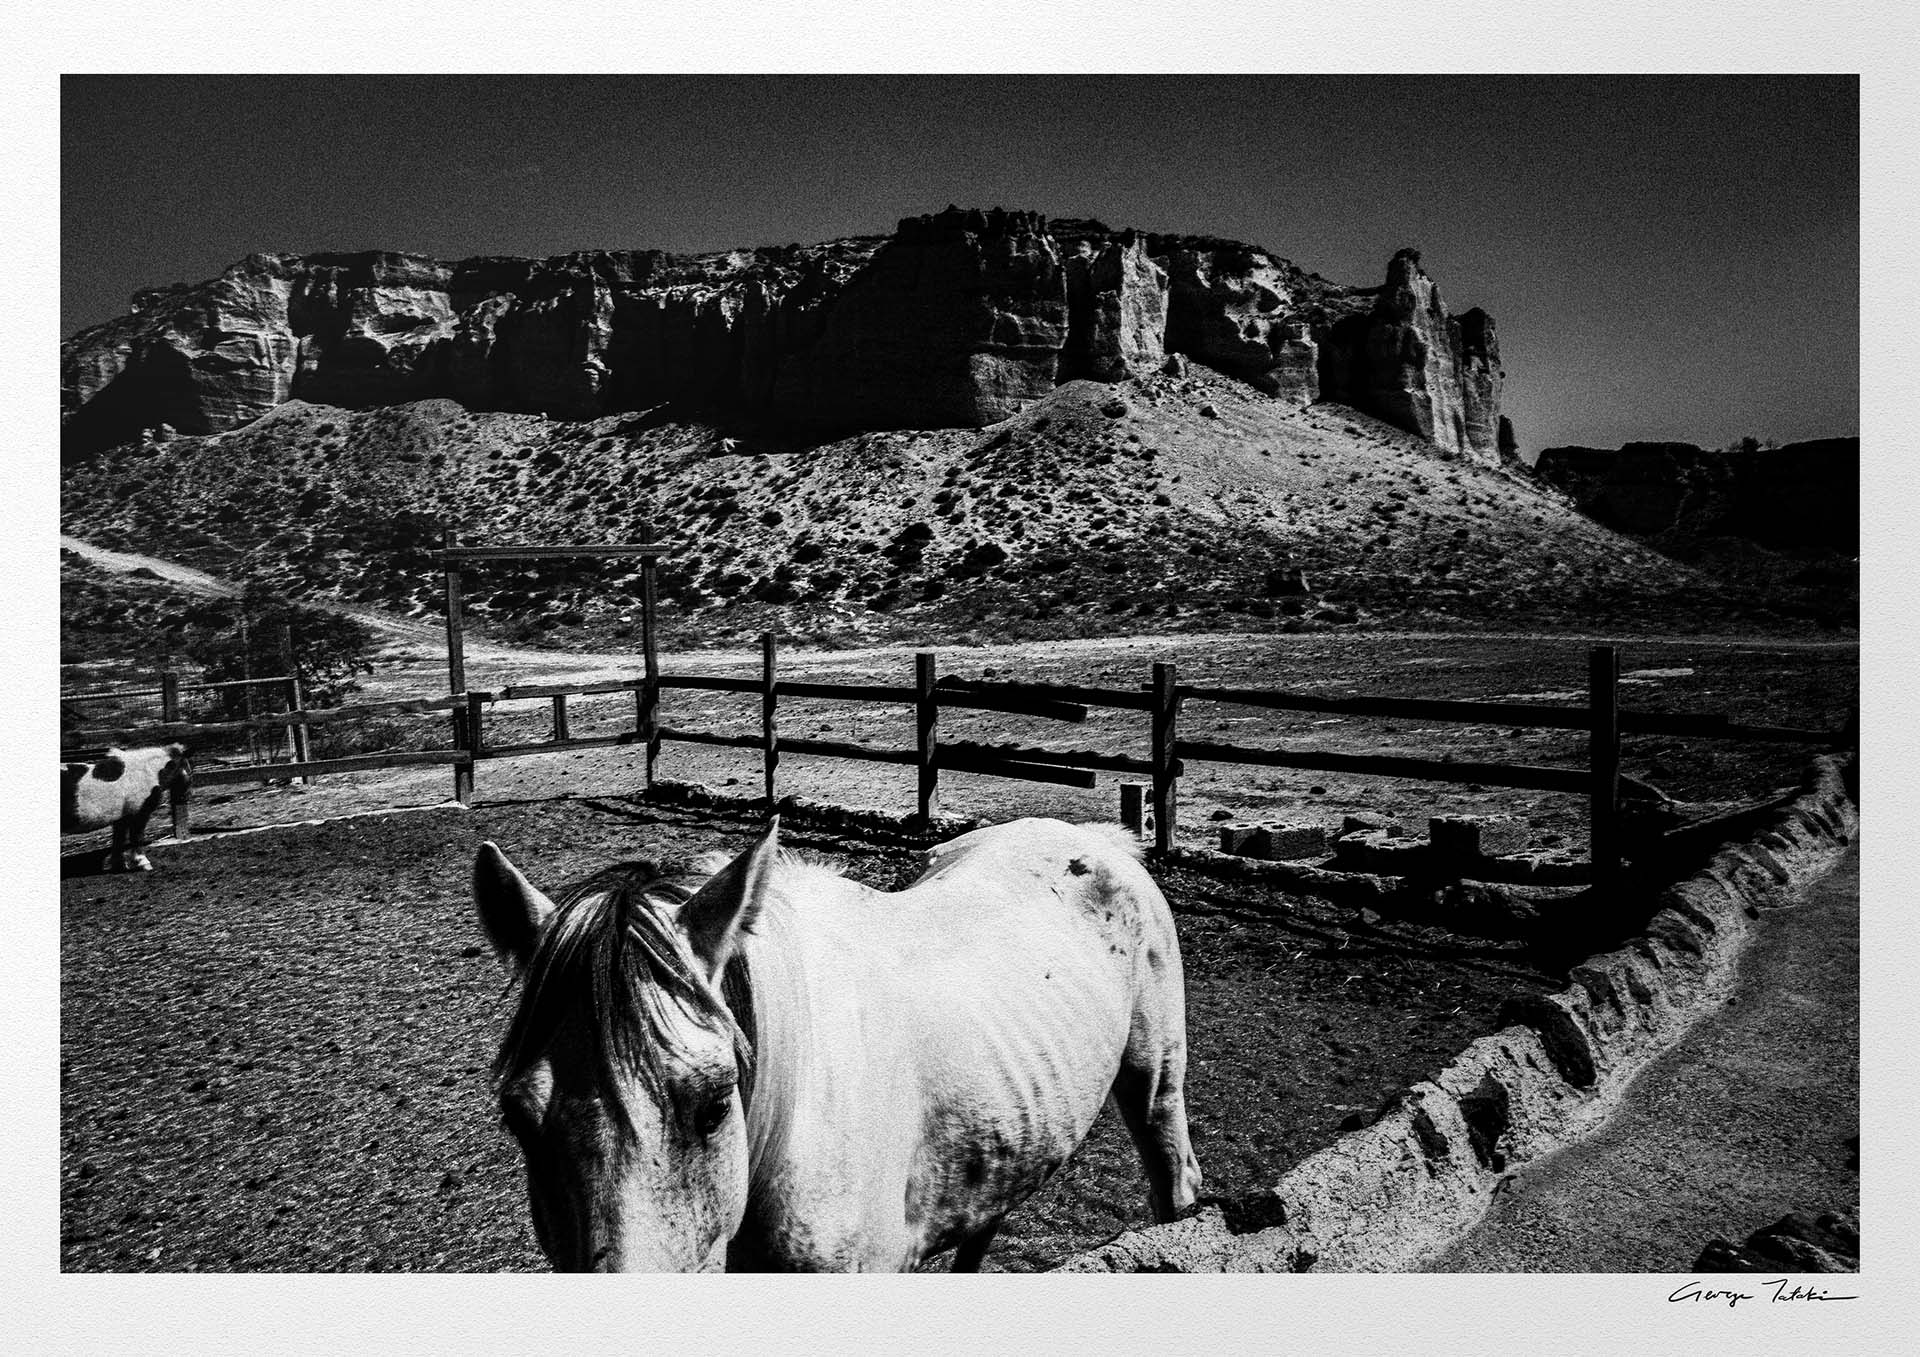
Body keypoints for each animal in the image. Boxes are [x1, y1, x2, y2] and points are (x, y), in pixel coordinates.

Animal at [60, 743, 190, 872]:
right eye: (187, 768)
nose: (185, 797)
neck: (146, 773)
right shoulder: (139, 814)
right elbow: (137, 837)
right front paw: (144, 863)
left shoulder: (121, 818)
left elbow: (119, 840)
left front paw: (119, 865)